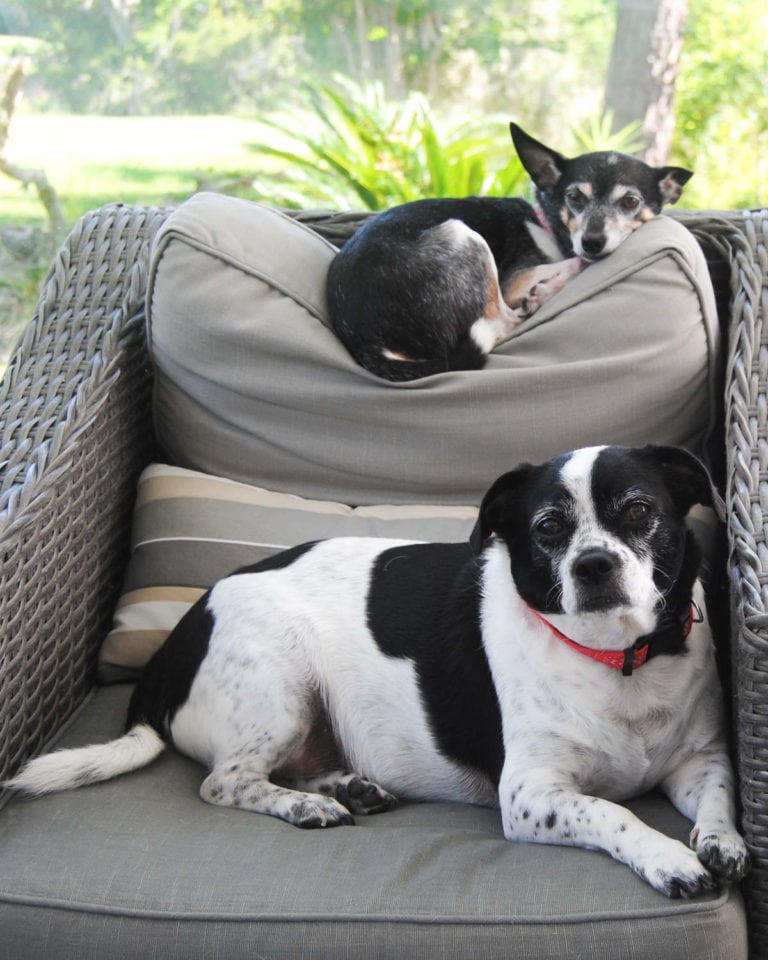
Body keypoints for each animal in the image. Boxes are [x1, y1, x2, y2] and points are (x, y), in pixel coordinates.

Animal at [6, 446, 748, 896]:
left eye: (639, 512)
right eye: (546, 527)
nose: (594, 565)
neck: (620, 662)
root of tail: (173, 645)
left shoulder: (702, 760)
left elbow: (723, 797)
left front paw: (719, 841)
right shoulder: (532, 797)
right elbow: (613, 814)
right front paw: (669, 858)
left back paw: (347, 787)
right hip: (281, 689)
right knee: (225, 781)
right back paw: (307, 805)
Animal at [328, 125, 692, 380]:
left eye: (630, 202)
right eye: (575, 197)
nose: (592, 242)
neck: (547, 223)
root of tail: (365, 340)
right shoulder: (514, 280)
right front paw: (559, 276)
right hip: (464, 236)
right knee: (504, 320)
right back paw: (549, 290)